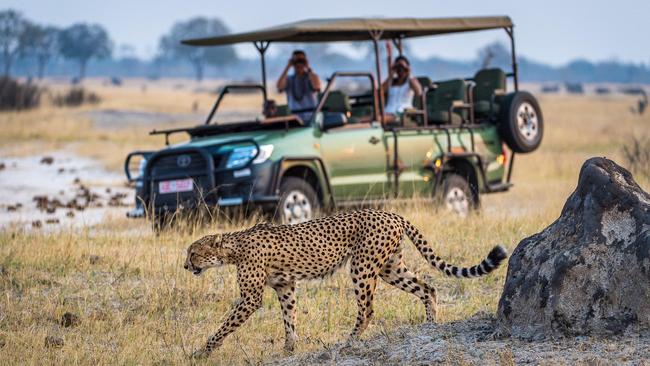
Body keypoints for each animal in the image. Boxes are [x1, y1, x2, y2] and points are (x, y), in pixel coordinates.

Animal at [182, 209, 506, 358]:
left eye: (194, 252)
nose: (186, 266)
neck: (233, 247)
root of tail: (390, 213)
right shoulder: (286, 286)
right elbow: (290, 318)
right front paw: (289, 348)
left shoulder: (251, 298)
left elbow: (224, 326)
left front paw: (202, 352)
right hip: (390, 268)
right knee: (427, 287)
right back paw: (429, 326)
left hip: (362, 267)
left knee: (368, 310)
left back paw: (349, 341)